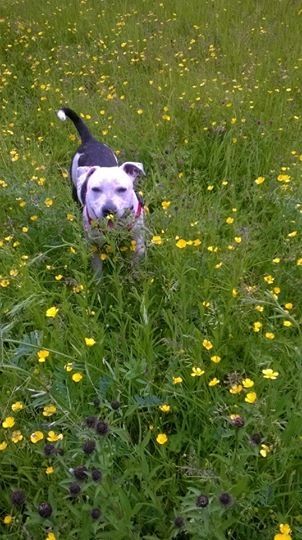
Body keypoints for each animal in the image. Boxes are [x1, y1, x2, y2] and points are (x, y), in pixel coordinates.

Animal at [57, 107, 146, 266]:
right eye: (95, 189)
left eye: (122, 189)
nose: (108, 209)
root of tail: (90, 140)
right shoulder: (94, 245)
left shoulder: (138, 241)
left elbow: (136, 262)